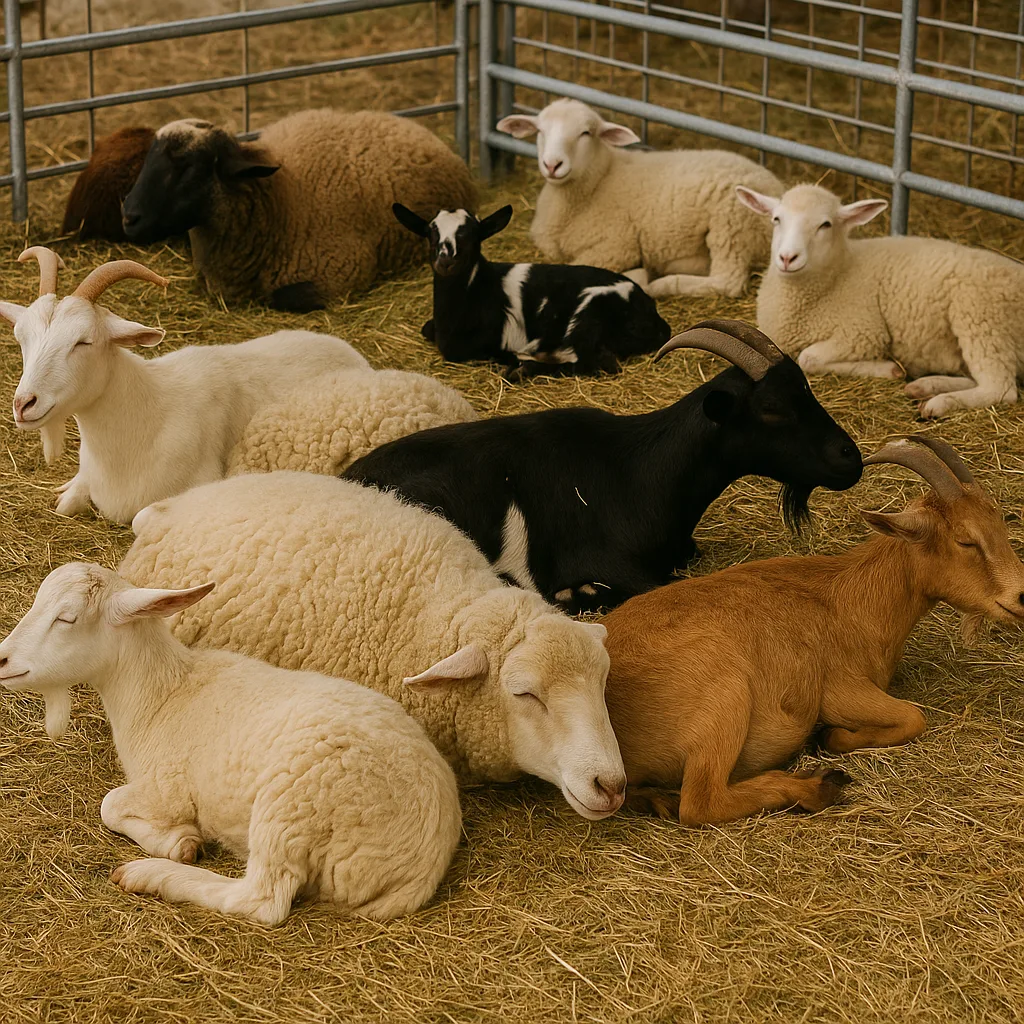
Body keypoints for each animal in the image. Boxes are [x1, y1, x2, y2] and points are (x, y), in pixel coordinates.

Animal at [0, 563, 461, 925]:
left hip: (294, 800)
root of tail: (426, 861)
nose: (2, 659)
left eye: (67, 618)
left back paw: (151, 875)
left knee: (262, 900)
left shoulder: (167, 788)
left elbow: (109, 804)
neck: (164, 695)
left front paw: (179, 844)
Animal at [392, 203, 670, 379]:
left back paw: (523, 369)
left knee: (595, 364)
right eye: (431, 232)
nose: (446, 261)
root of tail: (654, 317)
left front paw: (517, 361)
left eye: (472, 235)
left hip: (589, 314)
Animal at [495, 98, 783, 299]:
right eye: (540, 131)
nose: (552, 165)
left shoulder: (617, 245)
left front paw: (637, 276)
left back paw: (661, 285)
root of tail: (778, 189)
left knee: (728, 281)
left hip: (732, 223)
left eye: (586, 133)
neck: (599, 180)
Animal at [600, 435, 1024, 826]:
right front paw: (829, 738)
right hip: (724, 700)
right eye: (965, 540)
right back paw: (820, 784)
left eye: (1000, 522)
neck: (849, 602)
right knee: (700, 803)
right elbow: (913, 717)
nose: (1020, 596)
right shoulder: (840, 690)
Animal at [735, 182, 1024, 418]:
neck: (838, 275)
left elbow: (807, 358)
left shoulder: (863, 332)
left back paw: (939, 402)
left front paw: (887, 368)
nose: (787, 258)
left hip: (981, 318)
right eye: (776, 219)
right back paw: (925, 386)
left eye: (825, 225)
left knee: (1001, 388)